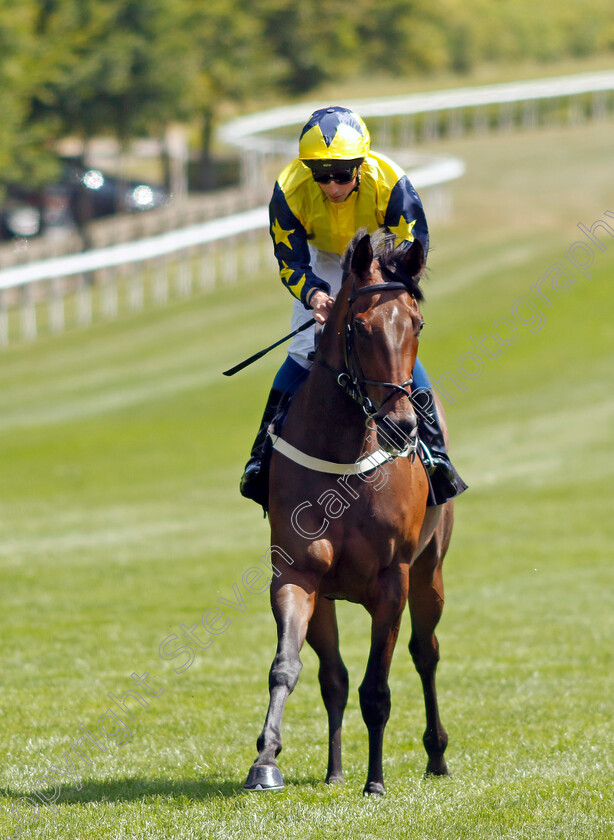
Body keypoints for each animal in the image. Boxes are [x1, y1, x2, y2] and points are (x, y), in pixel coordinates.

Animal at [245, 230, 458, 796]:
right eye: (359, 328)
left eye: (417, 323)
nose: (402, 426)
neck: (344, 458)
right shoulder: (297, 574)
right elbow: (290, 667)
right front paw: (266, 759)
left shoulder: (392, 579)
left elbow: (377, 688)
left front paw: (376, 782)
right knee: (334, 678)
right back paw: (335, 769)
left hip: (430, 571)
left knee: (425, 652)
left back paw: (436, 755)